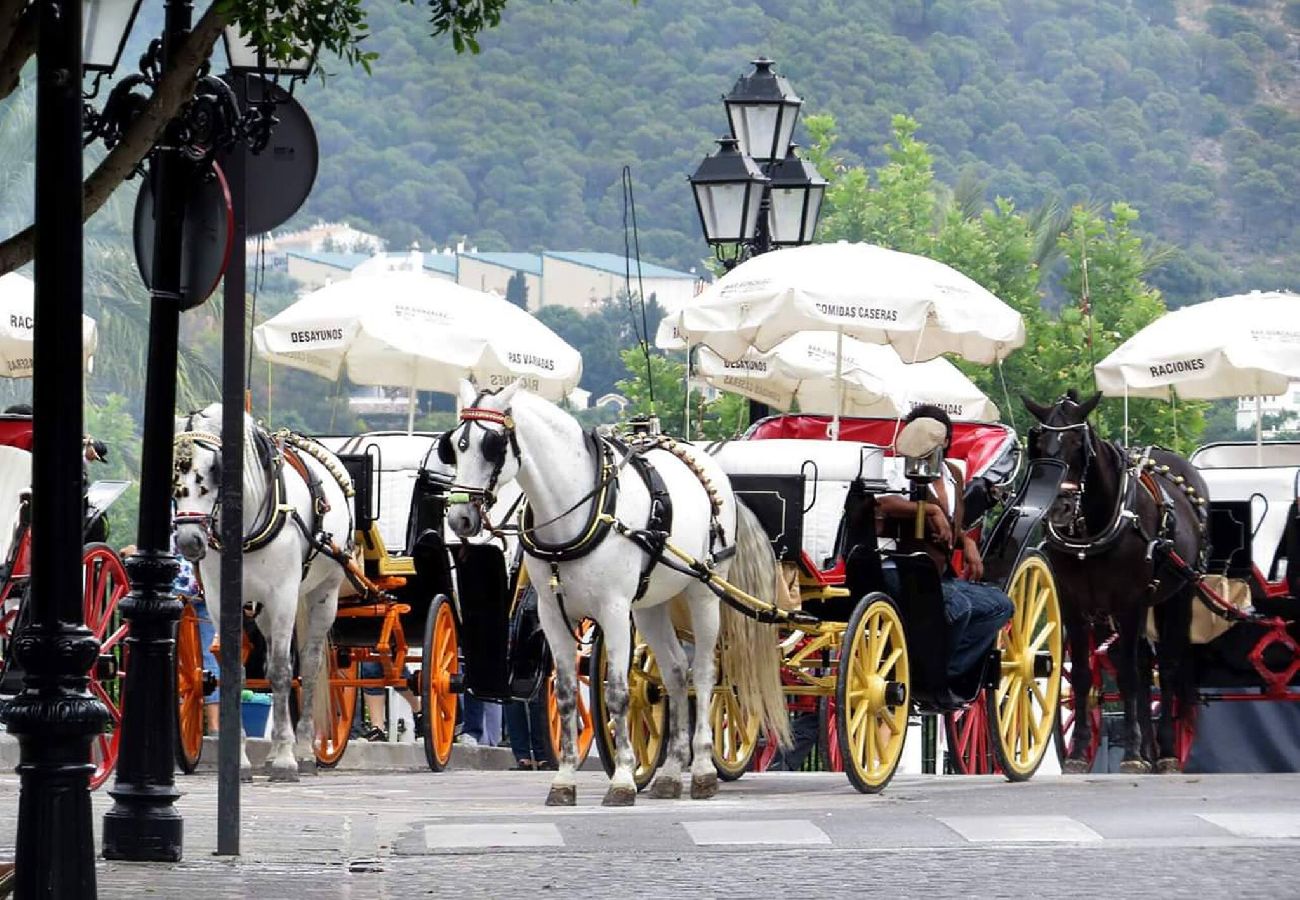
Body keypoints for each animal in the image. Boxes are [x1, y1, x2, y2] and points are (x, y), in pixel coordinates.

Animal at [175, 405, 356, 780]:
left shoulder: (284, 594)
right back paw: (274, 753)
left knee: (309, 665)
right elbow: (235, 671)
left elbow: (282, 672)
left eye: (214, 471)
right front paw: (241, 759)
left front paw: (287, 758)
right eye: (175, 474)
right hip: (263, 609)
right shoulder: (219, 599)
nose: (188, 540)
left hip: (323, 593)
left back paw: (303, 751)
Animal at [441, 382, 785, 806]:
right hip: (653, 605)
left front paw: (622, 778)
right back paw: (671, 773)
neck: (578, 514)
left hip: (703, 592)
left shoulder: (615, 612)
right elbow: (567, 695)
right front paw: (564, 781)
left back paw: (704, 770)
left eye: (493, 445)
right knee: (675, 671)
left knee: (704, 674)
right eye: (454, 446)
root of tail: (711, 470)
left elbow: (618, 692)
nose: (460, 519)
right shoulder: (553, 615)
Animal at [1024, 390, 1206, 769]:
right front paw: (1079, 752)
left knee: (1167, 667)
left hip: (1176, 596)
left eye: (1079, 444)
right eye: (1040, 443)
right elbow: (1081, 675)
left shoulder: (1130, 600)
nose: (1059, 508)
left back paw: (1165, 751)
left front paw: (1134, 752)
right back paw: (1151, 751)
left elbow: (1128, 676)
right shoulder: (1074, 602)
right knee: (1145, 664)